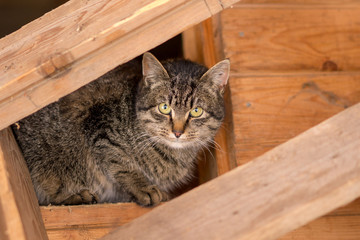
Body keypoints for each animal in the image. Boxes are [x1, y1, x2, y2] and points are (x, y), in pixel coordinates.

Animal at [12, 52, 231, 206]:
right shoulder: (101, 127)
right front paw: (143, 187)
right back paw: (77, 196)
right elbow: (122, 163)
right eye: (164, 107)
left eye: (196, 111)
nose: (177, 132)